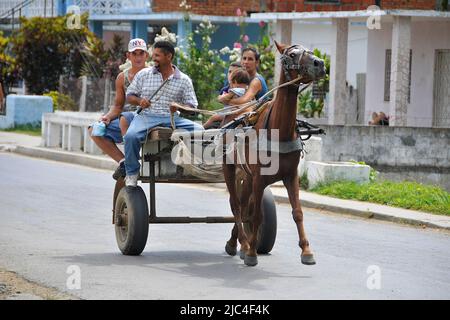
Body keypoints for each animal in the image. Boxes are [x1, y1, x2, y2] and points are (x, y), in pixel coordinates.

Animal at [222, 42, 326, 268]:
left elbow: (297, 213)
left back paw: (236, 243)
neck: (280, 130)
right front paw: (252, 253)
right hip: (229, 169)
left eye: (310, 51)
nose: (320, 63)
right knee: (236, 206)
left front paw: (306, 250)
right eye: (293, 54)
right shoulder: (259, 178)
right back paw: (244, 243)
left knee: (243, 206)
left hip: (246, 176)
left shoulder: (291, 176)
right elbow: (257, 216)